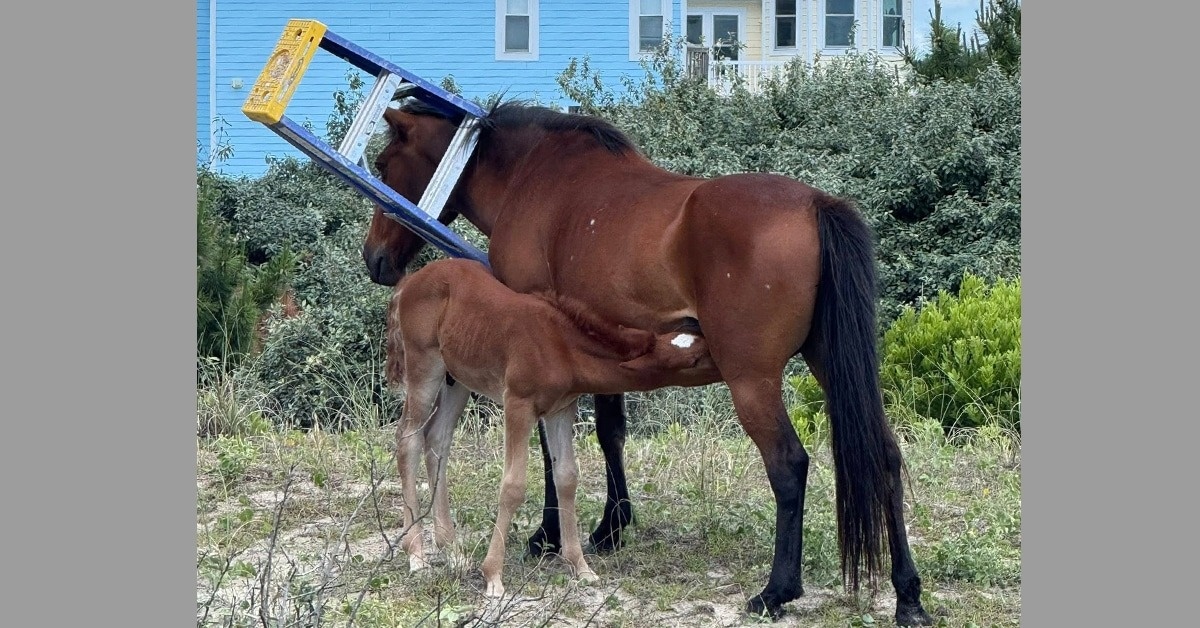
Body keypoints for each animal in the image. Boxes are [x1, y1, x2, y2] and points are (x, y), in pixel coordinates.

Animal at [385, 257, 711, 598]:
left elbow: (566, 477)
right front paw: (493, 576)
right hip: (424, 366)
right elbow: (512, 486)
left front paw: (581, 567)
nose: (720, 355)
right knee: (408, 438)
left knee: (437, 439)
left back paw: (452, 550)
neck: (560, 345)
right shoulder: (518, 404)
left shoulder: (560, 410)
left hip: (457, 378)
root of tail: (409, 281)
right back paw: (417, 555)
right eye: (694, 359)